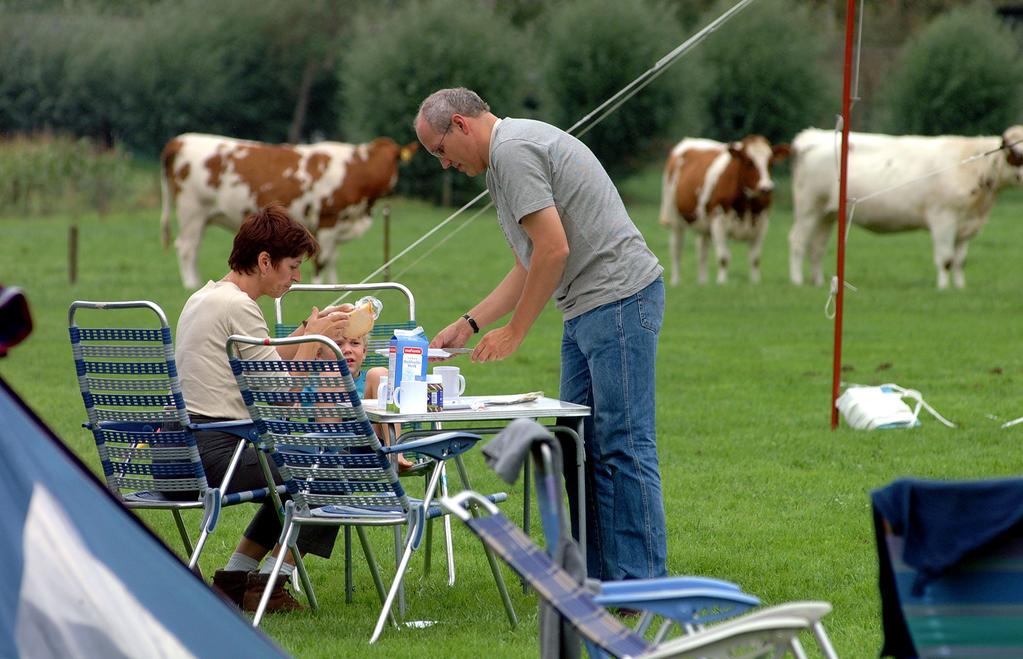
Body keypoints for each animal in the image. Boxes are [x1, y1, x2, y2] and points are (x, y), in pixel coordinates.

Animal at [159, 133, 415, 286]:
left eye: (394, 159)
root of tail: (182, 140)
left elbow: (333, 259)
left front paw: (336, 284)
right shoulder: (328, 220)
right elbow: (323, 260)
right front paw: (318, 286)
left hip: (200, 217)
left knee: (193, 248)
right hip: (192, 211)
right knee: (187, 247)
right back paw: (190, 285)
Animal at [658, 135, 793, 284]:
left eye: (771, 163)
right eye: (749, 162)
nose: (766, 188)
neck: (747, 205)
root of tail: (687, 140)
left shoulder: (762, 223)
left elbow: (755, 258)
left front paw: (755, 282)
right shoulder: (719, 220)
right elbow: (723, 257)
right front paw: (722, 283)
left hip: (704, 224)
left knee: (702, 251)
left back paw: (703, 283)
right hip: (675, 218)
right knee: (676, 249)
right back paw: (676, 281)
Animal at [789, 125, 1023, 288]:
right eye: (1016, 155)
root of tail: (812, 136)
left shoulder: (966, 225)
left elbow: (959, 261)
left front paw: (959, 287)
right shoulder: (943, 218)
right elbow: (946, 259)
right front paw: (943, 288)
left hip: (827, 214)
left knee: (817, 247)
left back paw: (818, 282)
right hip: (809, 208)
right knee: (798, 241)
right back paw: (797, 281)